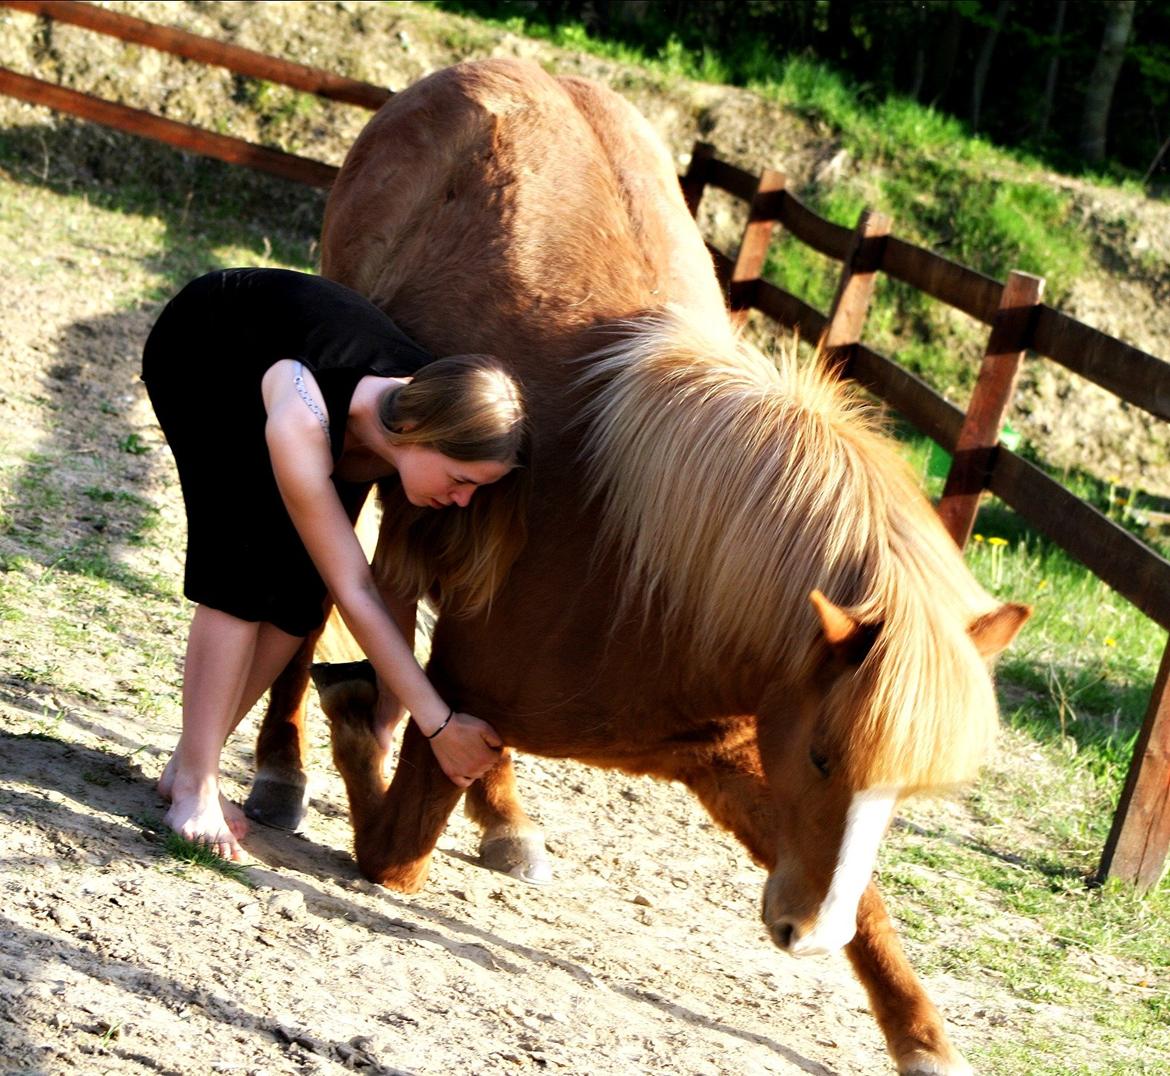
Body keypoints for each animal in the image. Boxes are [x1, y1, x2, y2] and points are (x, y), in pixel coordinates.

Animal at [244, 60, 1024, 1076]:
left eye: (907, 789)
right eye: (823, 754)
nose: (807, 935)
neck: (649, 578)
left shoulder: (725, 760)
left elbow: (873, 904)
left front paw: (920, 1036)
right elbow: (391, 851)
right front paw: (351, 721)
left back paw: (505, 818)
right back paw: (283, 767)